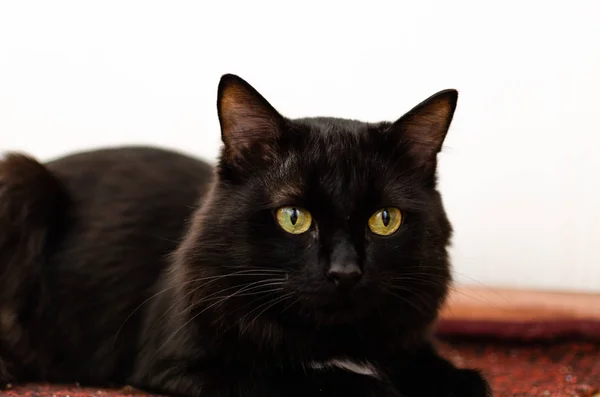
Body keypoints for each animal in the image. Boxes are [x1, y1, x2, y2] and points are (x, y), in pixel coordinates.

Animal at [0, 74, 490, 396]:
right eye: (293, 217)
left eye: (384, 219)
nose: (345, 271)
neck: (335, 337)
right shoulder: (182, 366)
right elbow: (305, 377)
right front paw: (376, 387)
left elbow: (458, 377)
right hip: (21, 179)